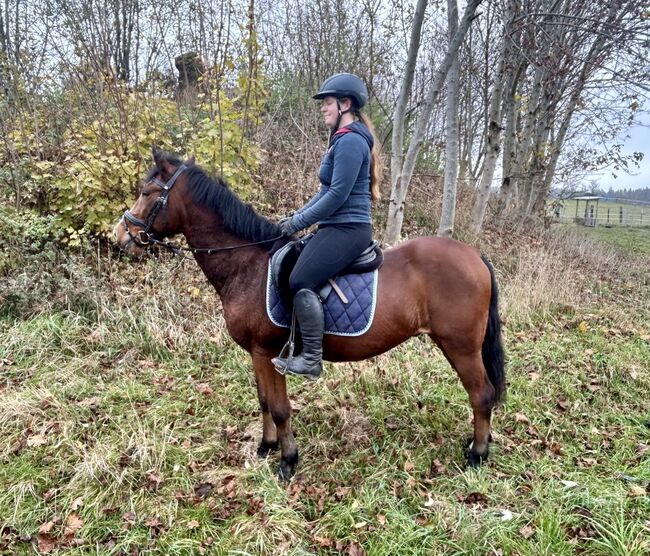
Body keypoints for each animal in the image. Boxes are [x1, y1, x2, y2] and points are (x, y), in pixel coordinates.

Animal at [114, 150, 504, 480]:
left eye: (147, 192)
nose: (121, 235)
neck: (248, 264)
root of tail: (475, 255)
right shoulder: (257, 355)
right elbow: (264, 401)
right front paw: (266, 447)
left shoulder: (267, 352)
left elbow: (281, 408)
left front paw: (287, 461)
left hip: (460, 346)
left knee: (481, 394)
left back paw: (477, 455)